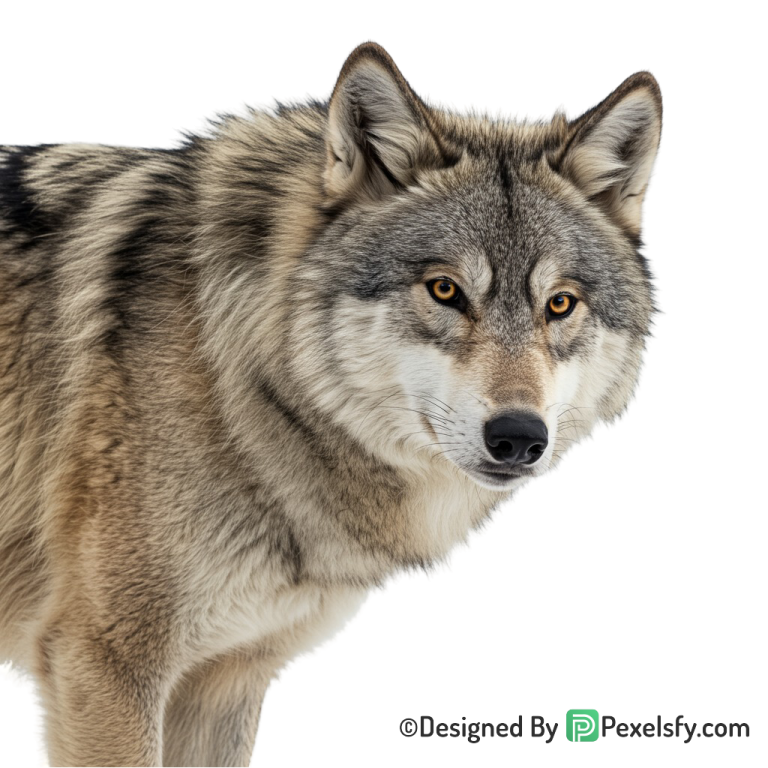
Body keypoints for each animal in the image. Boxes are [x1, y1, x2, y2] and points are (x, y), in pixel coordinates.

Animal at [0, 39, 663, 766]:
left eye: (560, 304)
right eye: (444, 289)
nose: (518, 436)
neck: (227, 365)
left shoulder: (223, 684)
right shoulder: (103, 667)